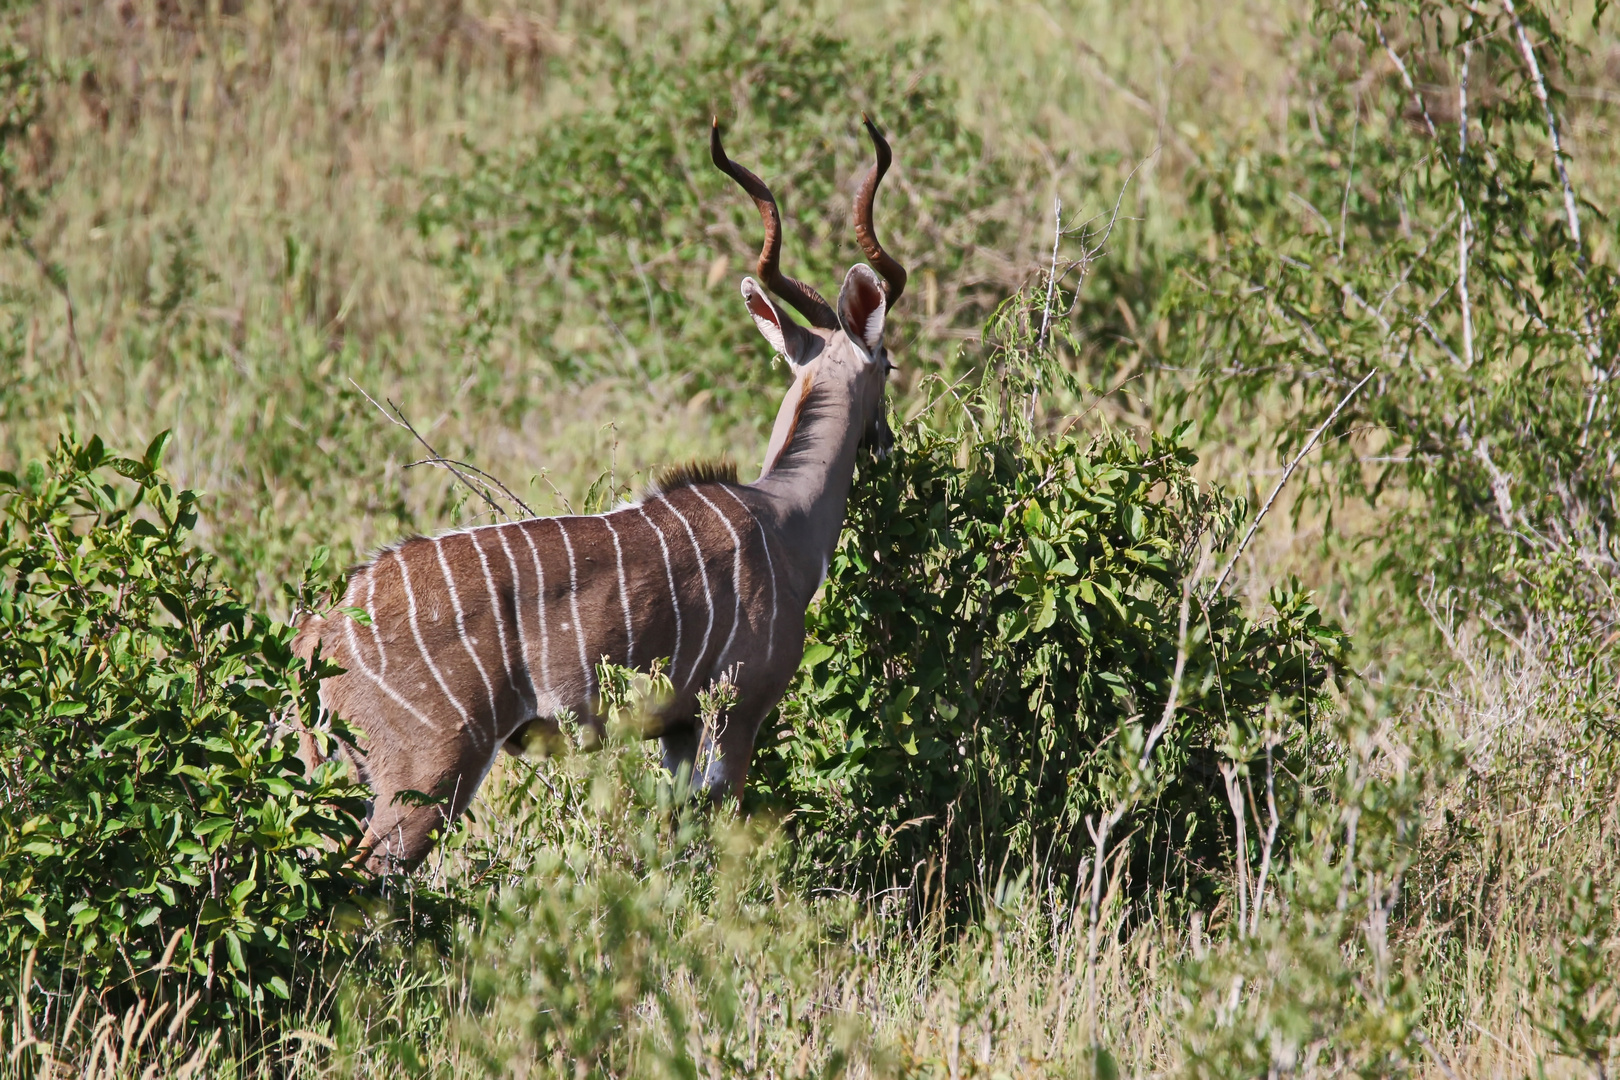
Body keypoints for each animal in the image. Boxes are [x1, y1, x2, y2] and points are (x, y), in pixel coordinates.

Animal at [298, 118, 907, 874]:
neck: (781, 515)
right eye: (891, 364)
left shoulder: (677, 729)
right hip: (427, 774)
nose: (887, 442)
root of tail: (321, 629)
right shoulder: (733, 711)